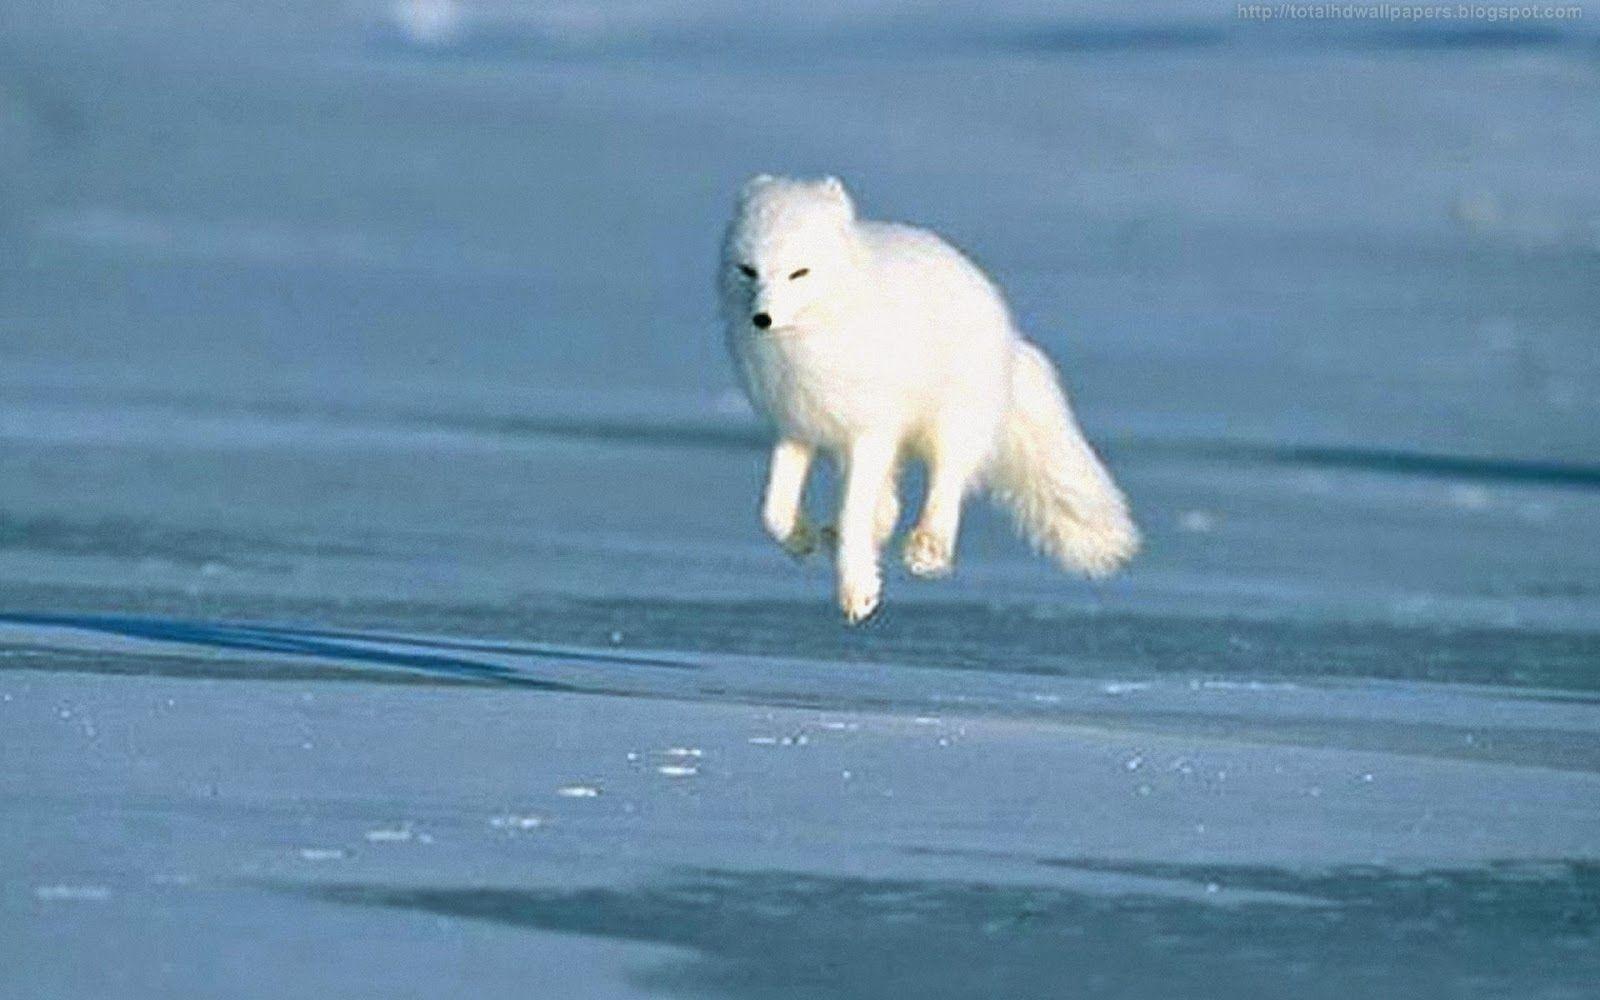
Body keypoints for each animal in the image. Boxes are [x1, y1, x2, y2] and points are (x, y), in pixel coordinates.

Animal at [719, 174, 1138, 624]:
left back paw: (928, 549)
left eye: (799, 273)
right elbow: (773, 511)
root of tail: (1009, 333)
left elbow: (854, 512)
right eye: (748, 270)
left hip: (952, 421)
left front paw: (857, 590)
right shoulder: (796, 424)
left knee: (948, 479)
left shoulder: (870, 431)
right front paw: (802, 540)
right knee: (889, 502)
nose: (762, 318)